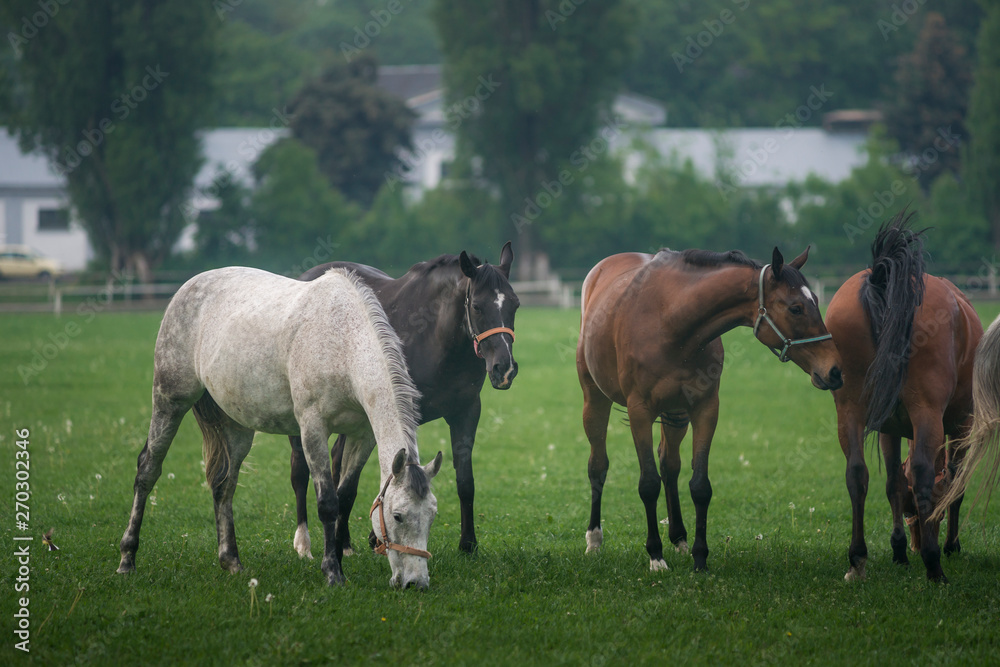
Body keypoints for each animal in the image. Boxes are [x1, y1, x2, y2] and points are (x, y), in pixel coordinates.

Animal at [117, 266, 442, 588]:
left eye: (432, 515)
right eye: (398, 516)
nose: (416, 583)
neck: (341, 342)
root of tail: (188, 287)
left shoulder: (361, 436)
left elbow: (345, 496)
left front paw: (338, 557)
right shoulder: (312, 428)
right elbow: (328, 502)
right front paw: (332, 572)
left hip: (235, 427)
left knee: (224, 484)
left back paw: (231, 561)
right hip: (170, 401)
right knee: (147, 470)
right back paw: (127, 558)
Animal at [290, 243, 520, 556]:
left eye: (515, 304)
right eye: (476, 306)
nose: (504, 369)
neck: (436, 336)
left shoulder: (467, 412)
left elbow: (465, 481)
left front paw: (468, 544)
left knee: (338, 463)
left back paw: (344, 541)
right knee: (300, 473)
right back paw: (304, 543)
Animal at [580, 248, 844, 572]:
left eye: (816, 301)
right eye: (796, 308)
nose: (834, 371)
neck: (670, 320)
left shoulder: (705, 408)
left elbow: (700, 486)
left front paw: (700, 557)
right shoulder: (639, 410)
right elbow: (648, 484)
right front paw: (655, 556)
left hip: (676, 414)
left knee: (670, 465)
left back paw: (679, 538)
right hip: (594, 400)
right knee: (598, 465)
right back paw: (594, 539)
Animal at [824, 215, 980, 584]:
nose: (915, 540)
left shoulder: (887, 426)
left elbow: (894, 481)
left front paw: (897, 551)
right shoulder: (961, 424)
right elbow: (953, 482)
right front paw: (949, 545)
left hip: (849, 410)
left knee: (856, 473)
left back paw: (858, 559)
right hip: (928, 411)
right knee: (923, 471)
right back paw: (934, 566)